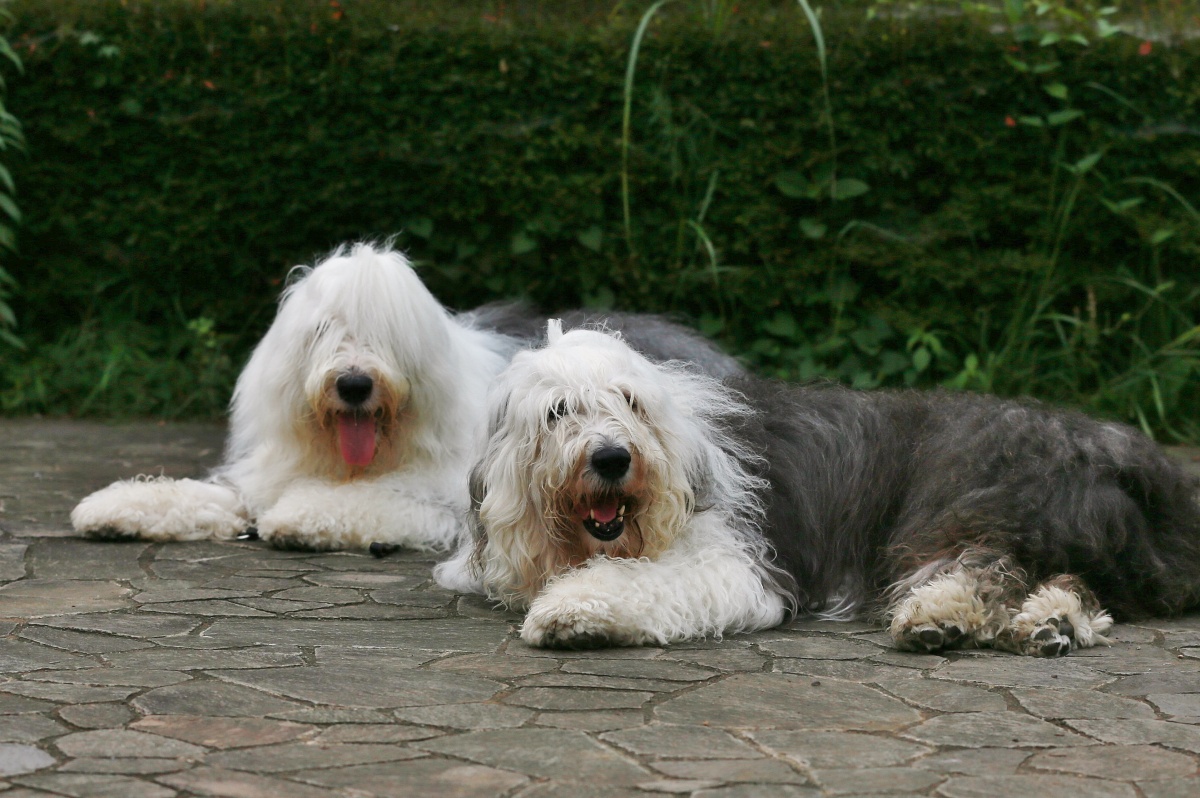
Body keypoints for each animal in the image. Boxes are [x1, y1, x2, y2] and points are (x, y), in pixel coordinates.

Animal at [72, 244, 743, 553]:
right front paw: (117, 507)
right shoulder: (263, 474)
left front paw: (297, 518)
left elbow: (362, 503)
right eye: (324, 330)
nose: (354, 383)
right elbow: (217, 497)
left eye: (389, 336)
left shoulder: (444, 495)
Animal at [435, 322, 1200, 655]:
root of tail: (1134, 456)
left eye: (629, 402)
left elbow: (644, 582)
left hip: (972, 495)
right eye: (558, 411)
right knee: (1078, 585)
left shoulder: (740, 560)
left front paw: (570, 610)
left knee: (990, 566)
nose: (614, 458)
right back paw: (1051, 623)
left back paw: (941, 615)